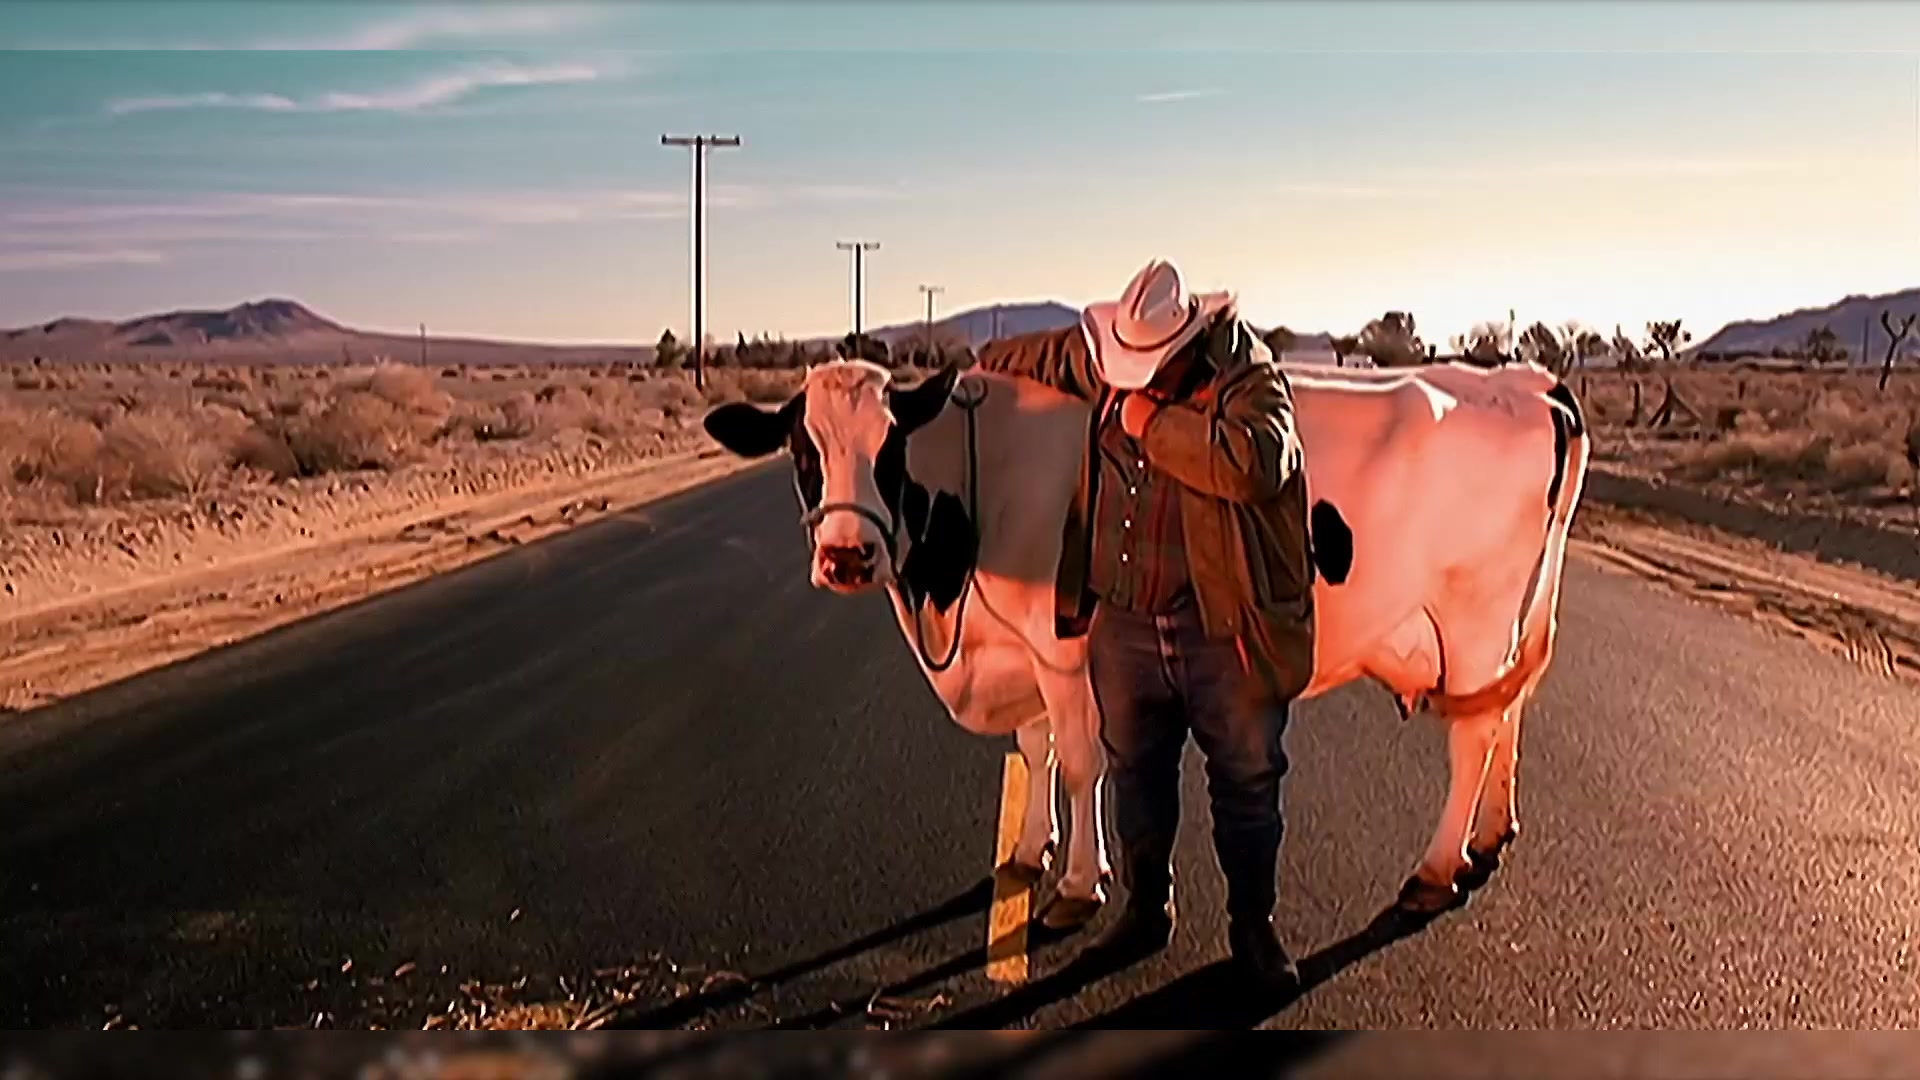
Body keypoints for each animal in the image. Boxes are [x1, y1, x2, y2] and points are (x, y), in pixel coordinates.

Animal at [702, 341, 1590, 923]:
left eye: (891, 449)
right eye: (802, 450)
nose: (847, 556)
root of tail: (1531, 381)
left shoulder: (1062, 654)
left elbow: (1078, 759)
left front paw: (1078, 882)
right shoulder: (1024, 650)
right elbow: (1034, 749)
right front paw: (1029, 851)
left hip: (1473, 613)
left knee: (1473, 736)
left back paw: (1436, 868)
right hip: (1507, 621)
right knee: (1507, 711)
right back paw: (1489, 834)